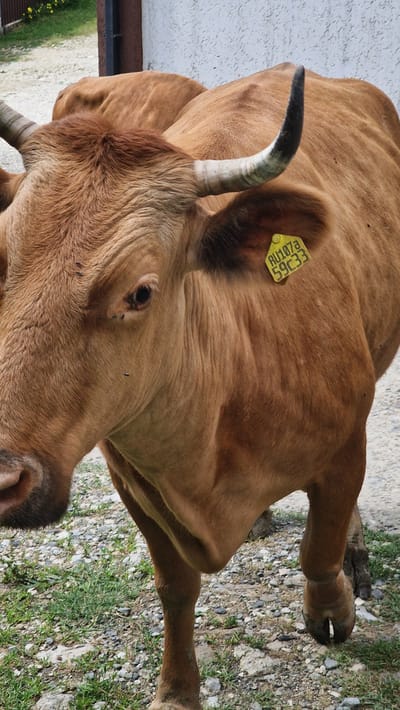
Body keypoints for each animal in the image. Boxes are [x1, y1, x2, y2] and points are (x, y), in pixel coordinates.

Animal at [0, 64, 399, 709]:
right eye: (0, 257)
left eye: (140, 291)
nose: (4, 479)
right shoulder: (135, 482)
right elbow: (175, 586)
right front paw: (178, 690)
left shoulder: (344, 446)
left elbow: (320, 545)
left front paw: (331, 607)